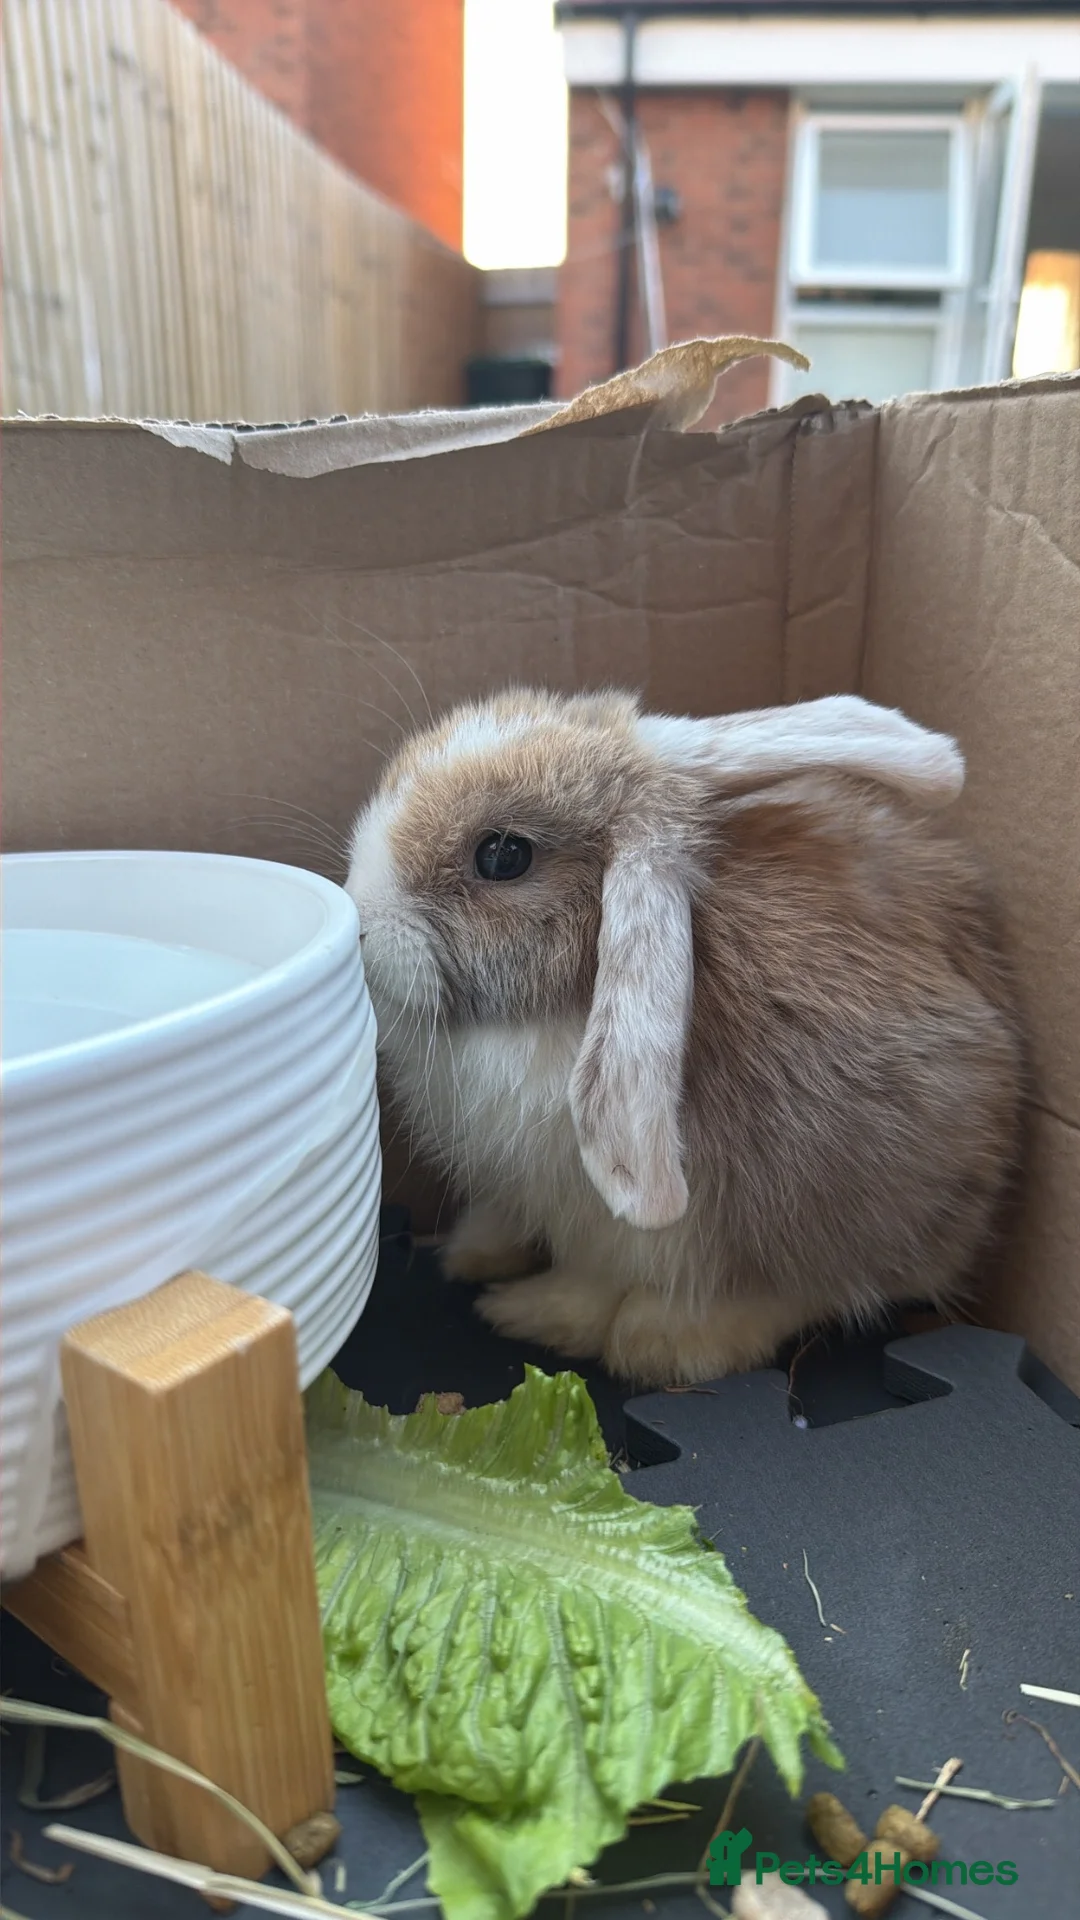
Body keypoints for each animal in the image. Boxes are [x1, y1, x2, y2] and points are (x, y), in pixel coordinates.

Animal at [346, 688, 1023, 1388]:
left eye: (503, 857)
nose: (360, 918)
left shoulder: (621, 1228)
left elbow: (593, 1283)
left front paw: (526, 1312)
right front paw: (476, 1257)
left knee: (822, 1286)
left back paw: (661, 1339)